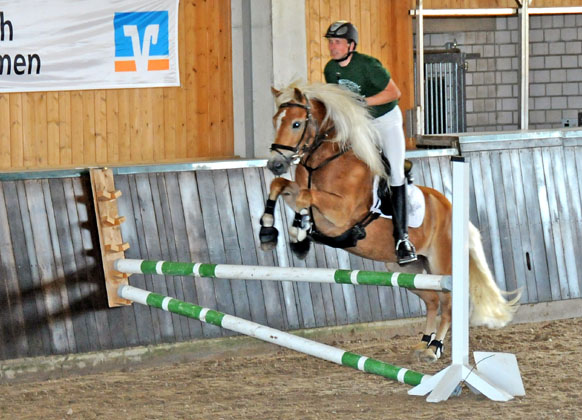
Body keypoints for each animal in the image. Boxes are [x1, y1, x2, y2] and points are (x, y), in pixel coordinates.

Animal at [258, 81, 520, 362]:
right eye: (275, 121)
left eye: (296, 124)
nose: (275, 163)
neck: (324, 163)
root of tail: (450, 207)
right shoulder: (299, 191)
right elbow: (281, 186)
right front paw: (270, 231)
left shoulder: (340, 215)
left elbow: (305, 196)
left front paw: (298, 234)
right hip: (404, 269)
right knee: (432, 300)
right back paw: (423, 343)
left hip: (441, 265)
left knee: (447, 303)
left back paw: (434, 348)